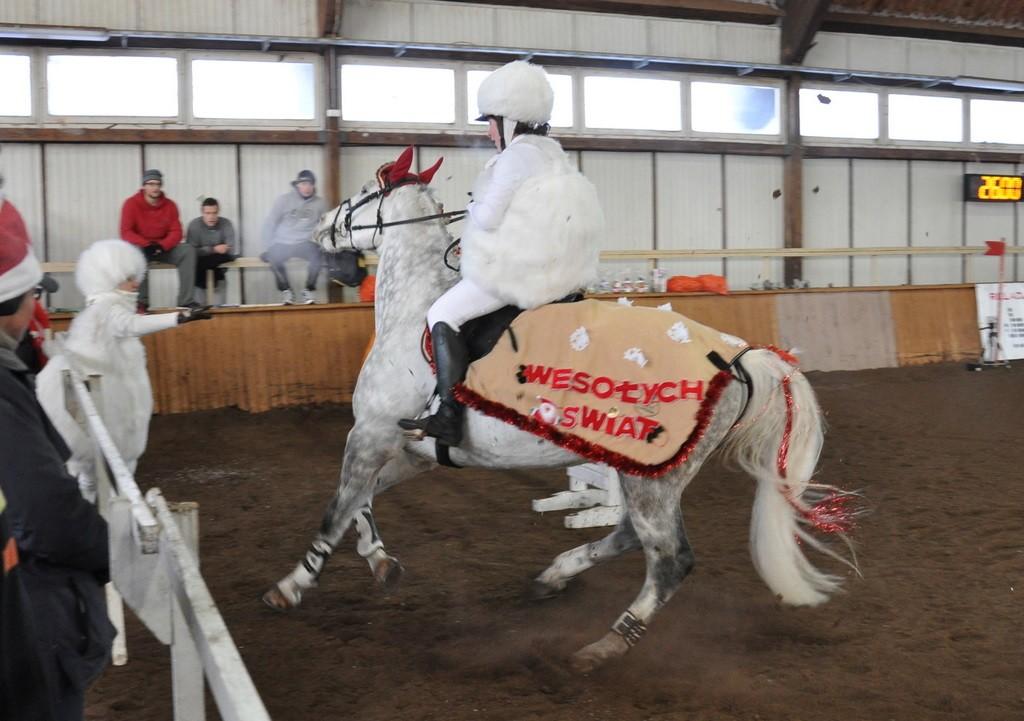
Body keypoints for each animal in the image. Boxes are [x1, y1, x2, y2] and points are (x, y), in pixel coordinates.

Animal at [266, 149, 856, 671]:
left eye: (362, 194)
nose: (321, 228)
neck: (415, 308)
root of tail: (733, 355)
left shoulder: (369, 432)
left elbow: (337, 508)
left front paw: (291, 586)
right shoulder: (409, 449)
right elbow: (360, 502)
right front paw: (381, 561)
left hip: (653, 478)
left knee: (669, 560)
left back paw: (605, 645)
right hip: (645, 472)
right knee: (629, 536)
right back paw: (554, 577)